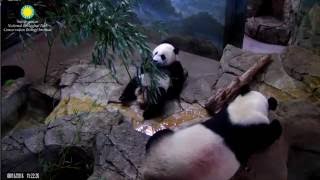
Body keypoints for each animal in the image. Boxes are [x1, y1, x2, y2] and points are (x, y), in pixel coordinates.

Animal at [144, 86, 282, 179]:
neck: (246, 108)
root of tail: (152, 172)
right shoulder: (253, 132)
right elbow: (269, 137)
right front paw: (277, 124)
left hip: (159, 144)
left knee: (156, 137)